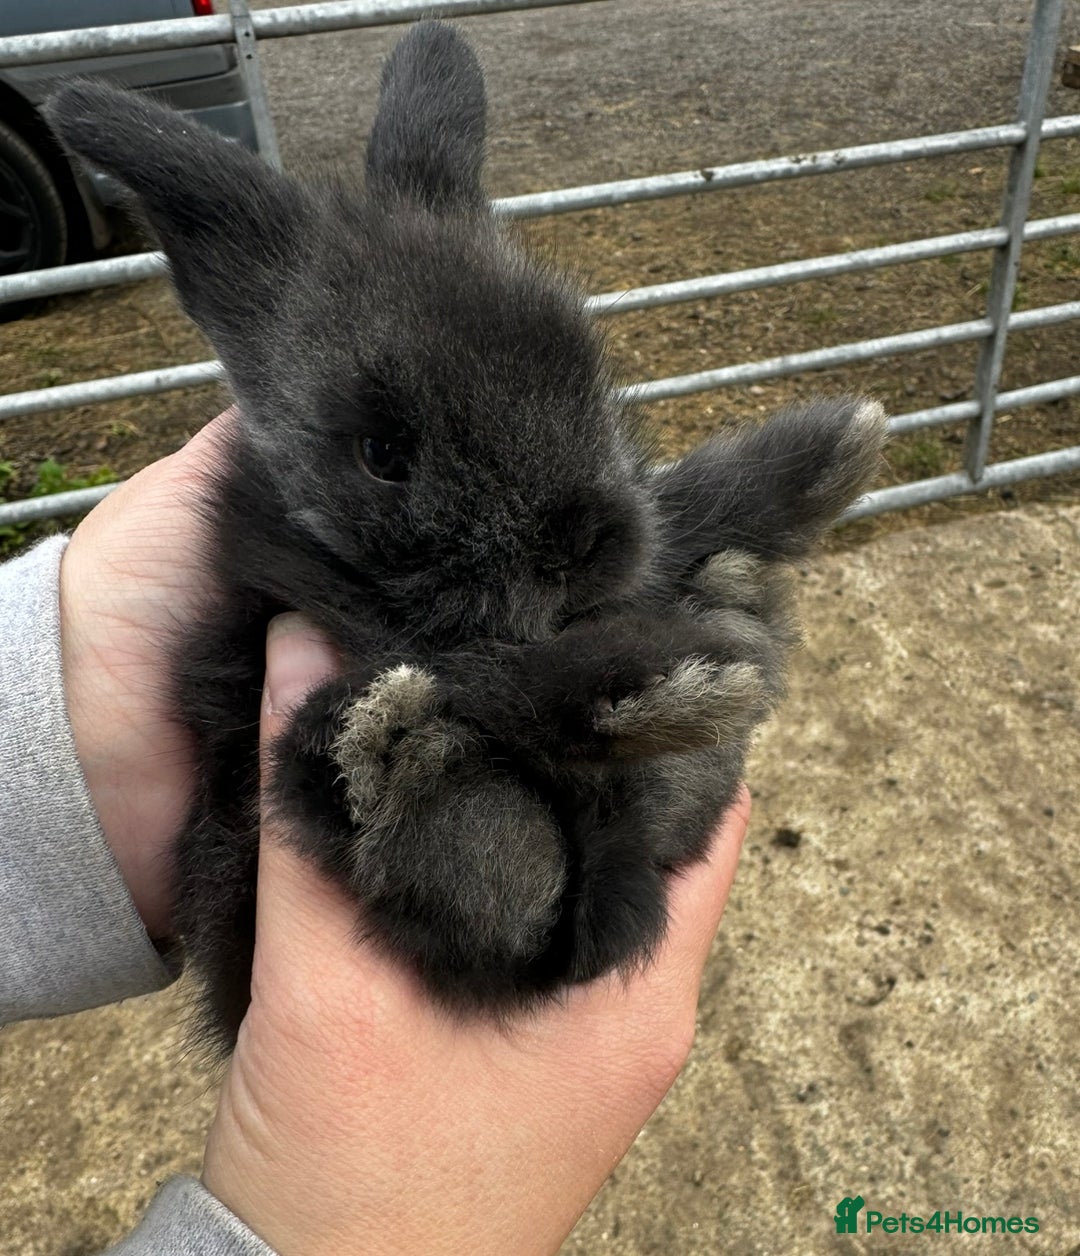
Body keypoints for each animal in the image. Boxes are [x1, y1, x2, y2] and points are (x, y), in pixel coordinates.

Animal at [45, 21, 887, 1054]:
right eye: (383, 451)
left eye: (579, 361)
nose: (584, 542)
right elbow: (490, 673)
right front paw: (665, 675)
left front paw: (827, 452)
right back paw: (428, 759)